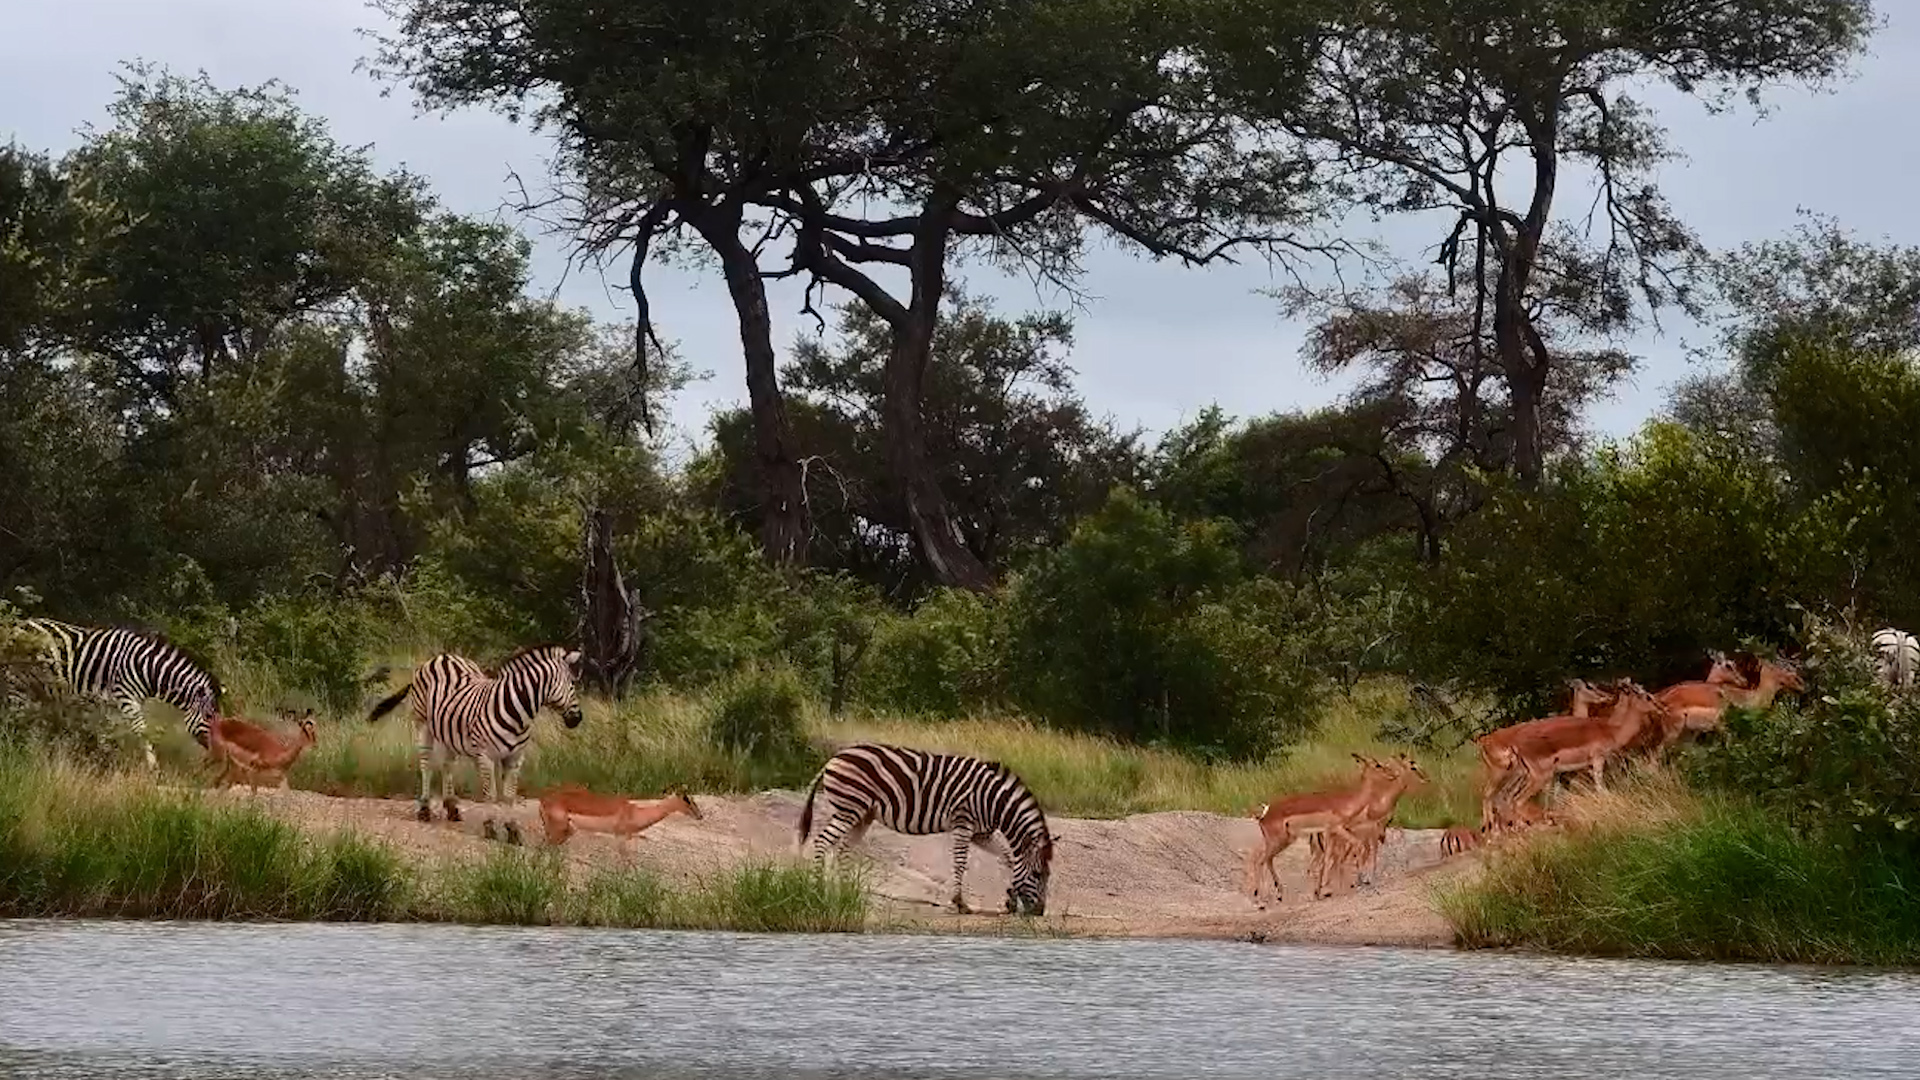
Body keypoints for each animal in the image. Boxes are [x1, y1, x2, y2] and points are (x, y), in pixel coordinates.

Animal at [15, 618, 221, 769]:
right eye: (209, 716)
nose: (217, 753)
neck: (147, 668)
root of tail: (20, 623)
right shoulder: (126, 697)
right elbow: (141, 730)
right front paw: (152, 766)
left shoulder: (115, 701)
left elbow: (106, 729)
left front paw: (102, 756)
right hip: (23, 682)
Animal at [367, 644, 584, 843]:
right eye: (572, 684)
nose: (578, 719)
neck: (518, 714)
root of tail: (442, 656)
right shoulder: (486, 756)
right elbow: (491, 794)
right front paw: (490, 828)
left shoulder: (514, 758)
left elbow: (509, 795)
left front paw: (513, 831)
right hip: (423, 723)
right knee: (426, 764)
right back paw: (425, 809)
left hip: (448, 729)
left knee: (447, 763)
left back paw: (451, 807)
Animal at [796, 743, 1055, 916]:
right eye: (1037, 875)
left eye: (1046, 876)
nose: (1039, 912)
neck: (994, 800)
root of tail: (835, 757)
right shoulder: (963, 823)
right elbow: (960, 862)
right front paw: (960, 903)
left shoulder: (981, 834)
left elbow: (1008, 859)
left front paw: (1010, 898)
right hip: (849, 809)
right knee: (822, 841)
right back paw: (816, 888)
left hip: (862, 815)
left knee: (843, 849)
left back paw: (846, 890)